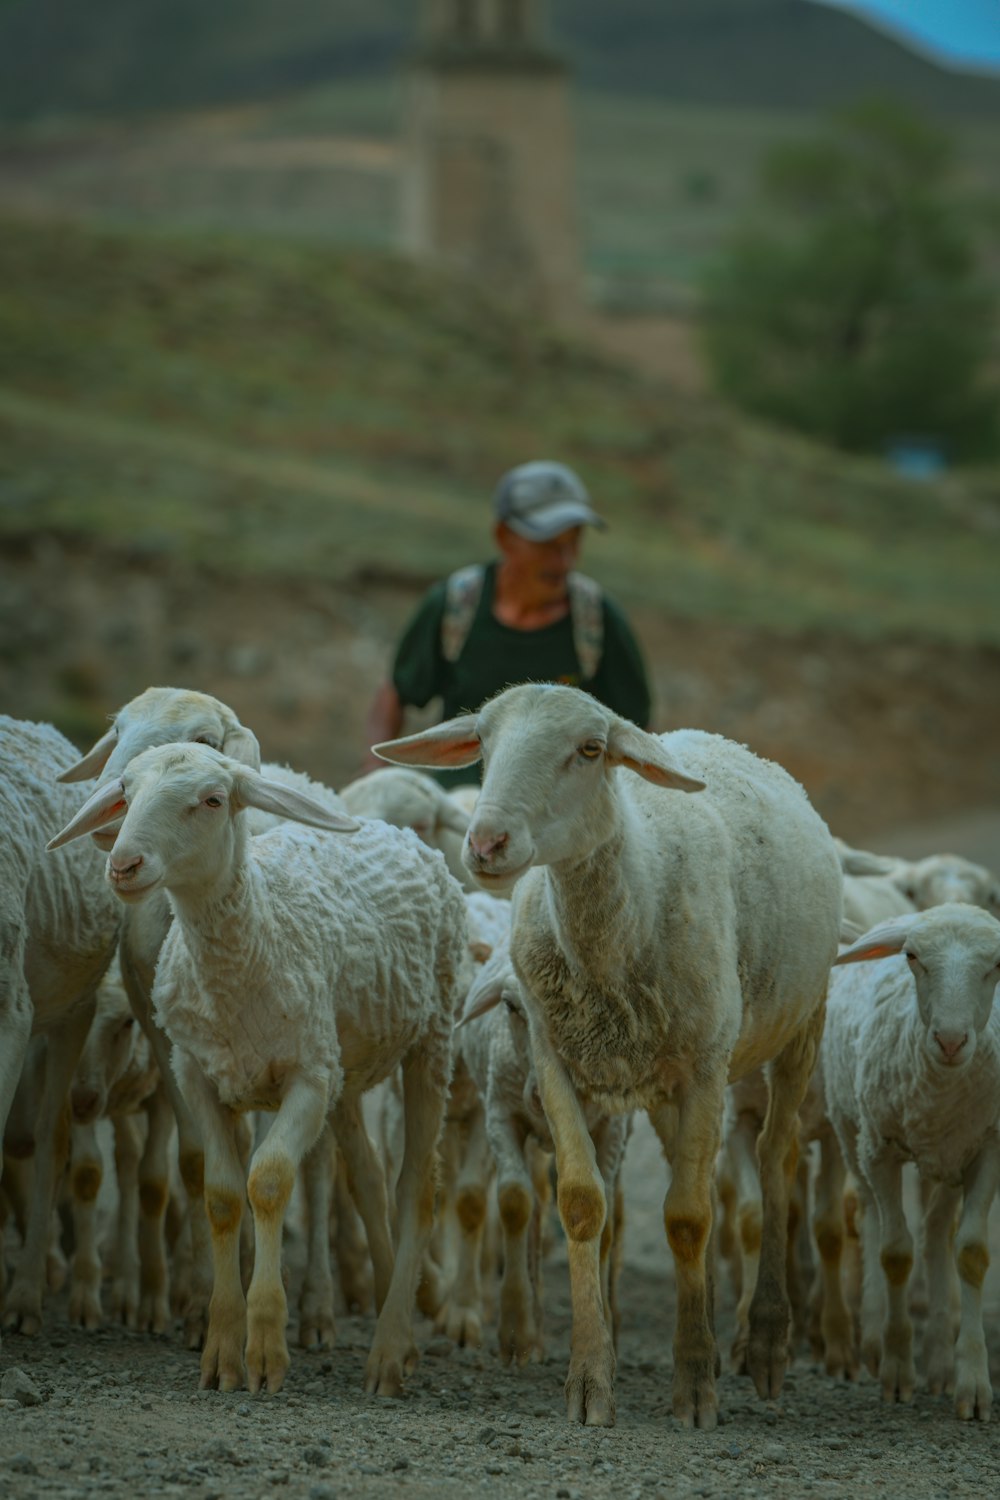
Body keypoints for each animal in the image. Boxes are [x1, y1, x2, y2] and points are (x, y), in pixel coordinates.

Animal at [45, 738, 470, 1392]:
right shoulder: (196, 1075)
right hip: (346, 1063)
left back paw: (391, 1348)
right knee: (368, 1177)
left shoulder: (306, 1078)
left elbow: (268, 1181)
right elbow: (221, 1194)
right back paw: (385, 1312)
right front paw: (221, 1349)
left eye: (213, 800)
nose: (123, 865)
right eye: (126, 791)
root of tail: (395, 829)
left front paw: (266, 1344)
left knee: (415, 1187)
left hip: (432, 1037)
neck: (250, 942)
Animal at [374, 687, 845, 1422]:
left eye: (591, 749)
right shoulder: (554, 1059)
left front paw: (694, 1387)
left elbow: (687, 1217)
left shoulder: (706, 1063)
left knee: (776, 1160)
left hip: (798, 1022)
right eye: (483, 740)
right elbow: (581, 1203)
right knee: (700, 1175)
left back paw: (764, 1340)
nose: (485, 843)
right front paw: (591, 1379)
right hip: (666, 1082)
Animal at [821, 900, 1000, 1416]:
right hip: (851, 1133)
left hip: (947, 1158)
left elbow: (971, 1252)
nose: (951, 1040)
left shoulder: (988, 1146)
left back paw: (939, 1359)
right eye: (914, 957)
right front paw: (897, 1370)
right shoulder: (880, 1149)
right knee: (870, 1217)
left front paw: (972, 1382)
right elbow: (895, 1253)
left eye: (996, 966)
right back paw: (874, 1335)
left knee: (938, 1232)